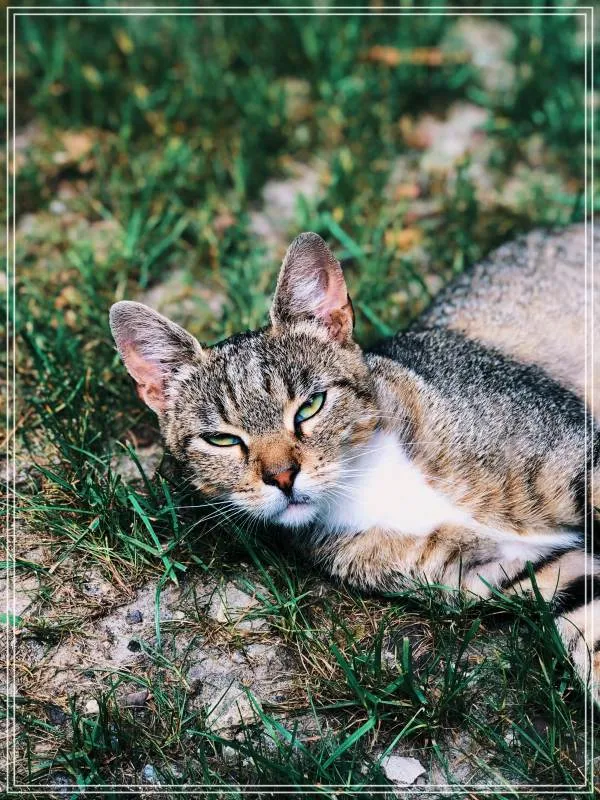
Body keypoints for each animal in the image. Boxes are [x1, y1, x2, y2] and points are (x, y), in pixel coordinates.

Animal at [110, 223, 599, 704]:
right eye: (222, 439)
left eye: (310, 406)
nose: (282, 476)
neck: (367, 481)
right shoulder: (523, 569)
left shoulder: (579, 457)